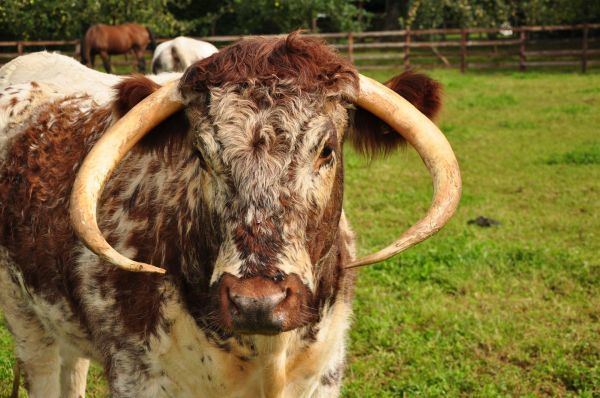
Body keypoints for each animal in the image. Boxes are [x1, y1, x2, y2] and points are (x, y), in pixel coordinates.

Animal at [0, 32, 462, 396]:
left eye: (327, 149)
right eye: (200, 153)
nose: (257, 303)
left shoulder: (323, 377)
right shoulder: (137, 377)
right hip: (25, 318)